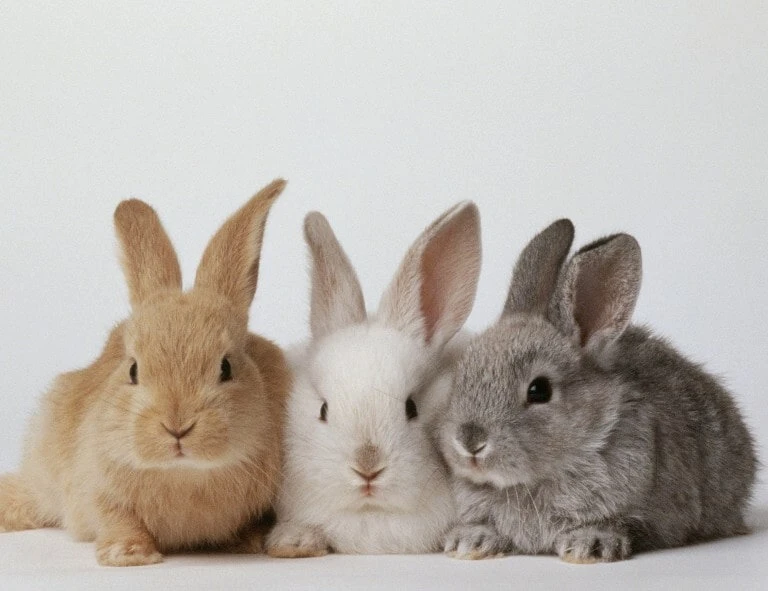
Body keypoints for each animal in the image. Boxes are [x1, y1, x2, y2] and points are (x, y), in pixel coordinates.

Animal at [0, 179, 291, 566]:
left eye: (226, 367)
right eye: (133, 369)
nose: (177, 426)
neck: (184, 475)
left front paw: (248, 542)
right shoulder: (97, 488)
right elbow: (117, 517)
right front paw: (129, 555)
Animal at [440, 219, 757, 563]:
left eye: (539, 390)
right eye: (462, 374)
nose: (470, 441)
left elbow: (616, 524)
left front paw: (588, 546)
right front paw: (471, 542)